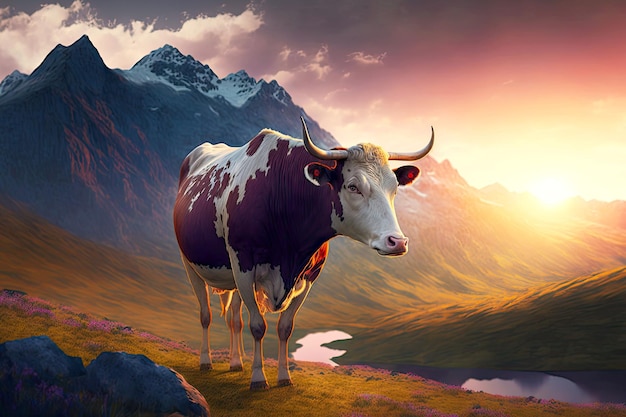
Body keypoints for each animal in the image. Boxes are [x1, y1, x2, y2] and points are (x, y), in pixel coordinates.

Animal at [173, 116, 432, 386]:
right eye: (353, 187)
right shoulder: (243, 265)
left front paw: (284, 377)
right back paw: (206, 361)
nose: (398, 242)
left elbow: (285, 328)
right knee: (206, 314)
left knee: (234, 318)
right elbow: (258, 326)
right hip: (190, 263)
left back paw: (236, 362)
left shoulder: (308, 276)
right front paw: (258, 378)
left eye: (394, 188)